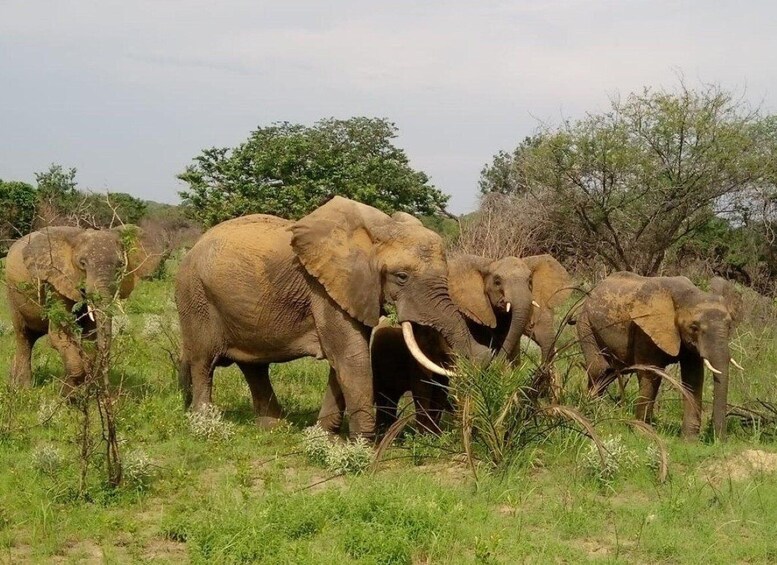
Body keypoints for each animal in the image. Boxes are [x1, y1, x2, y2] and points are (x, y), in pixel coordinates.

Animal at [6, 225, 156, 392]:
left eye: (121, 265)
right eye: (82, 263)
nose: (104, 387)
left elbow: (90, 334)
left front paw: (75, 391)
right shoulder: (56, 281)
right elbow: (58, 335)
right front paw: (70, 393)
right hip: (12, 294)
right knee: (23, 336)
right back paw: (23, 389)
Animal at [174, 196, 478, 438]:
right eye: (401, 277)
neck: (379, 227)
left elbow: (343, 360)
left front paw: (323, 437)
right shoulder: (323, 289)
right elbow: (351, 356)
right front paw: (362, 447)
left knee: (254, 366)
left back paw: (274, 428)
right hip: (195, 296)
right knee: (203, 362)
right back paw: (204, 427)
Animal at [576, 270, 740, 438]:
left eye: (729, 326)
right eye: (694, 327)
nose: (719, 439)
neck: (688, 294)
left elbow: (693, 378)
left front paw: (689, 440)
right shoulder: (644, 330)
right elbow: (650, 374)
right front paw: (643, 433)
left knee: (609, 373)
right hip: (586, 325)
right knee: (599, 370)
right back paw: (591, 412)